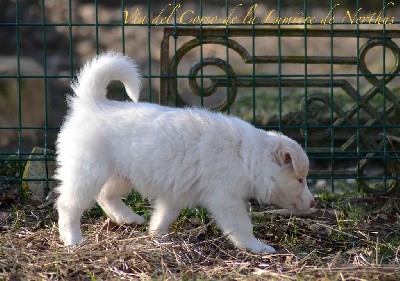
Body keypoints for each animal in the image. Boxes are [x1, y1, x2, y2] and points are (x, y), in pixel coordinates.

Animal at [54, 52, 316, 252]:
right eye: (300, 179)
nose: (314, 203)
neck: (246, 156)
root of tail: (93, 105)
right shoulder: (225, 199)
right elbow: (242, 227)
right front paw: (258, 247)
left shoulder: (175, 195)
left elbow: (163, 217)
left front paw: (156, 236)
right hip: (87, 172)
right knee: (68, 205)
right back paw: (73, 240)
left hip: (120, 174)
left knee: (105, 196)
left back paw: (128, 218)